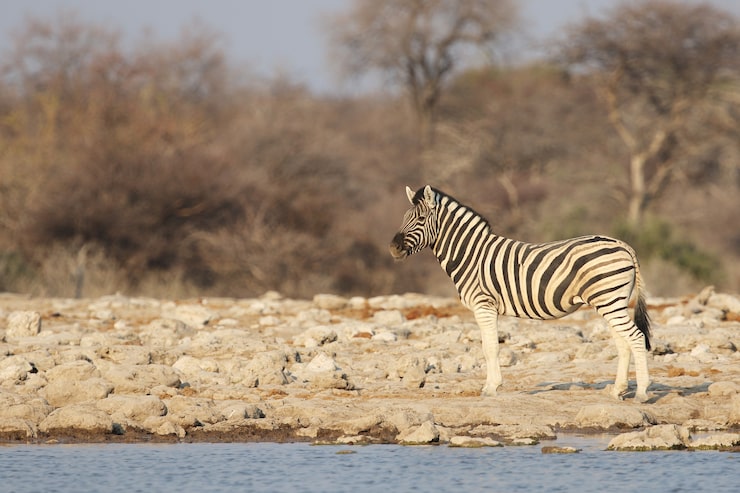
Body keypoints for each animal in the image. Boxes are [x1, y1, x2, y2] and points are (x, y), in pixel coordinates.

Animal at [389, 185, 652, 402]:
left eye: (421, 218)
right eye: (403, 218)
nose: (393, 248)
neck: (471, 256)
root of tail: (622, 244)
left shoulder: (483, 304)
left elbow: (490, 347)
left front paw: (491, 388)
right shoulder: (487, 307)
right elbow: (489, 346)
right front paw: (491, 385)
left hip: (610, 299)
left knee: (636, 337)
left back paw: (641, 393)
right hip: (610, 302)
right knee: (623, 342)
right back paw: (618, 390)